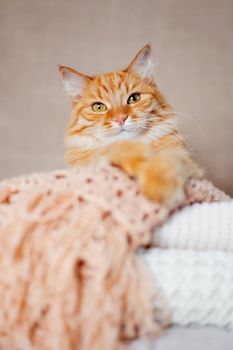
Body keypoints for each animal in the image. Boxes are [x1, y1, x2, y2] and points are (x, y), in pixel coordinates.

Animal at [59, 46, 201, 205]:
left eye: (134, 98)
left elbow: (168, 159)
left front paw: (159, 184)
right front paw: (138, 157)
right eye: (98, 107)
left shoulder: (189, 163)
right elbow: (112, 147)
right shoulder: (85, 164)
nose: (120, 119)